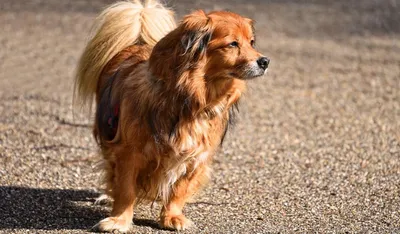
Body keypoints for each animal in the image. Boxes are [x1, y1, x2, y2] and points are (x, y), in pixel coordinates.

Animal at [74, 0, 270, 231]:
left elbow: (179, 190)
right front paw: (119, 220)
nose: (265, 61)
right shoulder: (128, 153)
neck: (191, 101)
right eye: (232, 44)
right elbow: (125, 189)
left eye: (251, 42)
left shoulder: (196, 155)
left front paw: (172, 217)